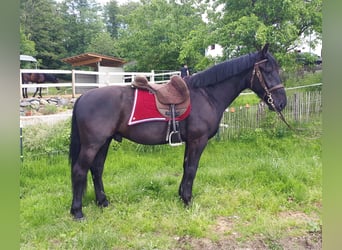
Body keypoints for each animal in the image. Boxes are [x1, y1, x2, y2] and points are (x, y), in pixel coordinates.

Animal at [69, 43, 286, 219]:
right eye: (267, 69)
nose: (281, 103)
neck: (206, 94)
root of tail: (83, 97)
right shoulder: (198, 140)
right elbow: (192, 168)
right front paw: (188, 200)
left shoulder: (190, 141)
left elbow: (185, 166)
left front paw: (181, 195)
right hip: (93, 144)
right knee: (80, 170)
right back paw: (77, 211)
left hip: (104, 142)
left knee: (97, 170)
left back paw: (103, 202)